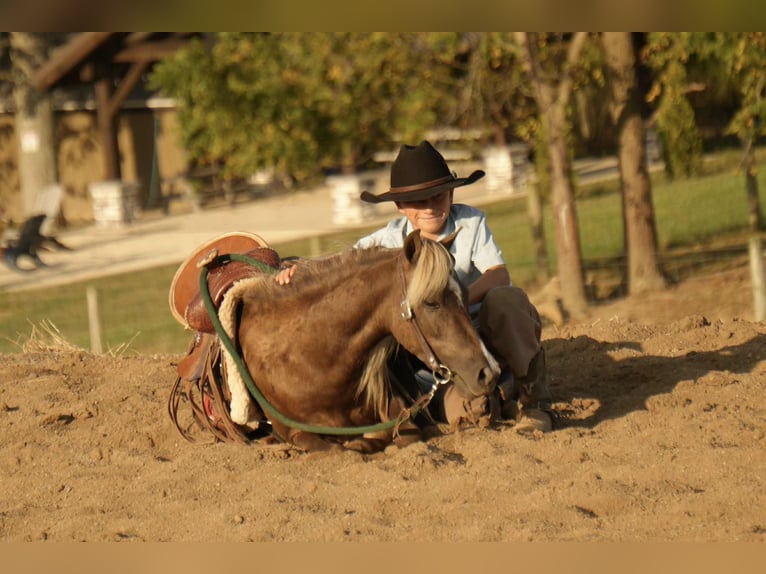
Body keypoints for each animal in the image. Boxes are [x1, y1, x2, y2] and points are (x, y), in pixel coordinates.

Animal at [200, 230, 501, 453]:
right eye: (431, 302)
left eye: (464, 294)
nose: (490, 372)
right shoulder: (293, 431)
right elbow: (336, 450)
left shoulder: (399, 416)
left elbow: (398, 437)